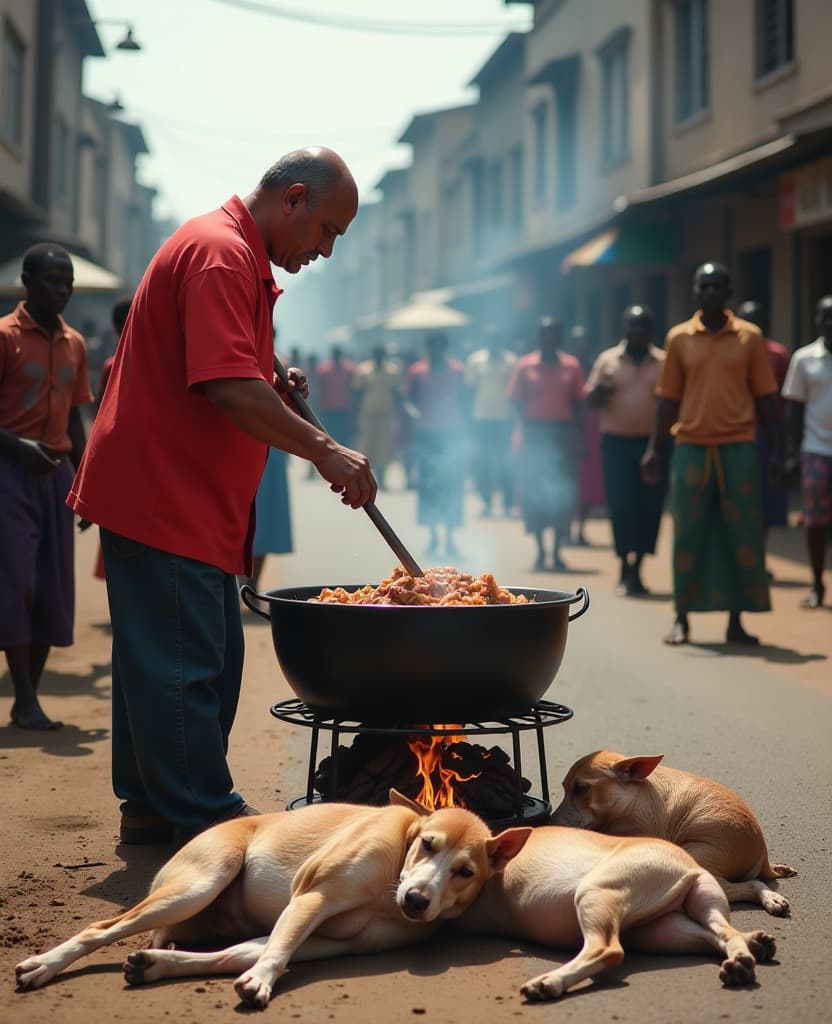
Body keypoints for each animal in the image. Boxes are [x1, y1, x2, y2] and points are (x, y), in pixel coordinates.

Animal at [13, 790, 528, 1007]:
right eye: (427, 844)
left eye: (465, 872)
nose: (417, 900)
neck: (390, 882)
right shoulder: (311, 897)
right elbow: (280, 949)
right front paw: (261, 981)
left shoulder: (336, 943)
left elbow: (258, 953)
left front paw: (252, 975)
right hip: (199, 883)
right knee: (102, 928)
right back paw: (43, 965)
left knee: (222, 950)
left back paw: (156, 962)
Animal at [459, 823, 778, 999]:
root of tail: (686, 864)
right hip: (670, 927)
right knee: (724, 933)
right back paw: (745, 957)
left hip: (595, 894)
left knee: (607, 950)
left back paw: (548, 983)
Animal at [549, 749, 795, 917]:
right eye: (564, 786)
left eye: (582, 788)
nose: (548, 821)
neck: (632, 798)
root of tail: (760, 855)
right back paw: (782, 870)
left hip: (698, 858)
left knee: (748, 885)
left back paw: (773, 899)